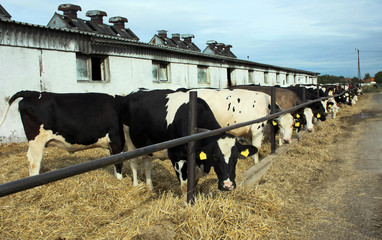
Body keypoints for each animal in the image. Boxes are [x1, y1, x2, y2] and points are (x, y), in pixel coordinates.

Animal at [118, 89, 258, 192]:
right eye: (215, 157)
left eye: (236, 157)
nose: (228, 186)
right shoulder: (177, 156)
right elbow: (185, 185)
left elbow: (193, 183)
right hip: (129, 139)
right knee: (133, 163)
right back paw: (136, 186)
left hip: (147, 144)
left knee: (147, 163)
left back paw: (150, 187)